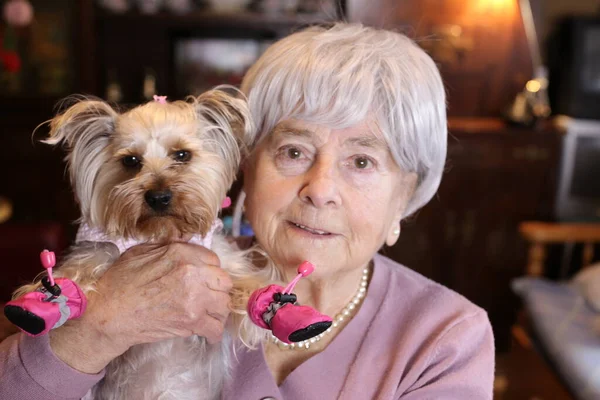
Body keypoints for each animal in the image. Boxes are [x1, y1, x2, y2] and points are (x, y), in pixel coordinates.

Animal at [7, 90, 268, 400]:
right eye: (130, 161)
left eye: (182, 155)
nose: (158, 197)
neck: (159, 233)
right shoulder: (102, 249)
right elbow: (78, 269)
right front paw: (46, 294)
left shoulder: (218, 256)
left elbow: (242, 276)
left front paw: (262, 308)